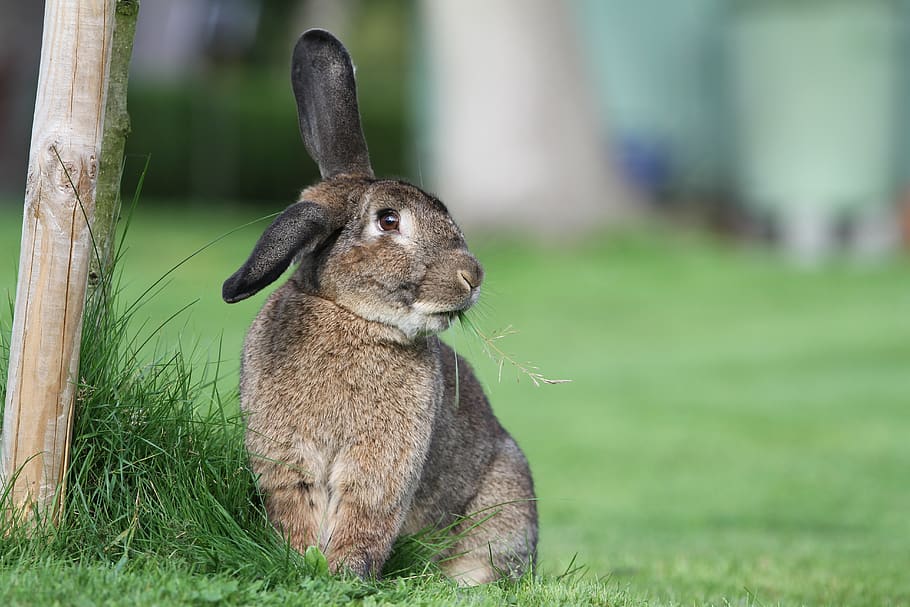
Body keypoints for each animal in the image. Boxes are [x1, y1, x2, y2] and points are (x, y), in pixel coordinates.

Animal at [222, 29, 538, 585]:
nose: (472, 276)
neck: (350, 316)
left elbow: (365, 515)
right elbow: (297, 508)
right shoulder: (286, 459)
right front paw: (301, 562)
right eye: (389, 221)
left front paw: (346, 574)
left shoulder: (380, 467)